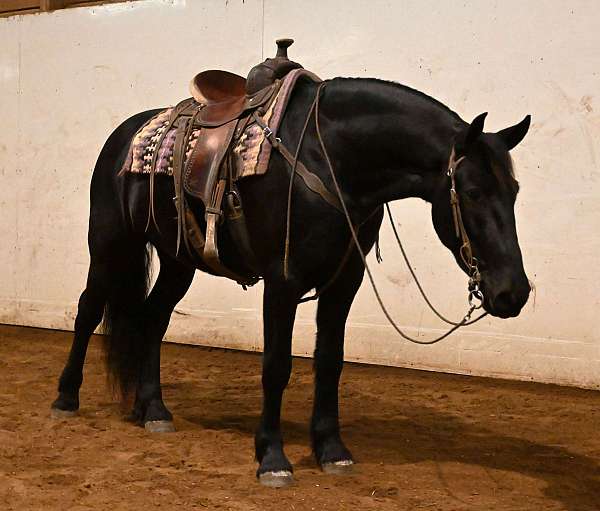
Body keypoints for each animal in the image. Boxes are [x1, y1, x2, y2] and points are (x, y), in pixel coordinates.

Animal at [50, 76, 528, 488]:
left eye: (514, 191)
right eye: (472, 192)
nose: (514, 292)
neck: (330, 159)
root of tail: (125, 134)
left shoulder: (343, 283)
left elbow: (330, 362)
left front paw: (332, 450)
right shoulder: (283, 281)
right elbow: (276, 365)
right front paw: (272, 458)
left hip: (177, 259)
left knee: (152, 319)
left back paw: (152, 409)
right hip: (110, 242)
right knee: (88, 310)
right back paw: (66, 398)